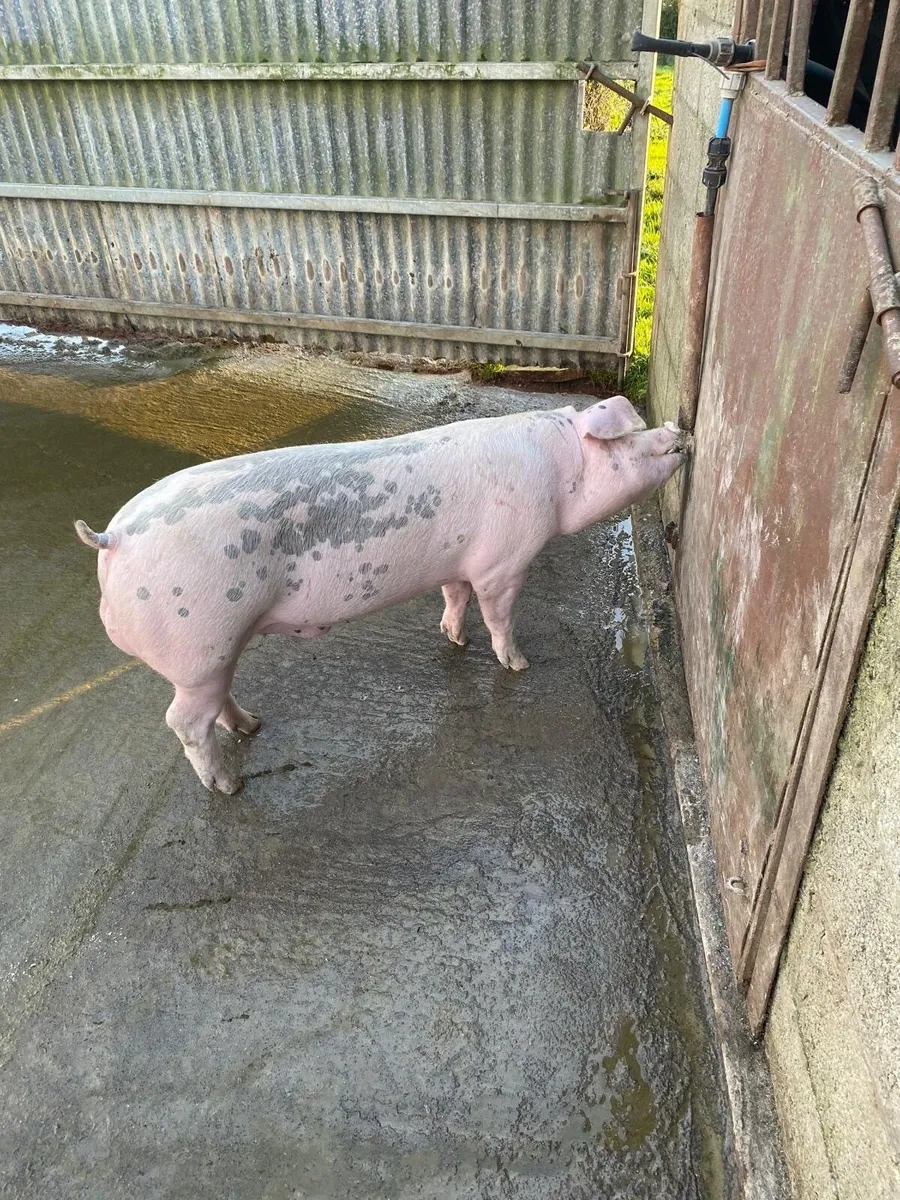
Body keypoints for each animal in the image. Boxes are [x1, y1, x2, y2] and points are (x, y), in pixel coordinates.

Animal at [76, 395, 687, 793]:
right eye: (628, 439)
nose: (680, 434)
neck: (559, 470)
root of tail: (114, 537)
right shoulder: (504, 561)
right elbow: (499, 614)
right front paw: (519, 665)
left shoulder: (458, 560)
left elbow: (454, 597)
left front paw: (454, 640)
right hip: (198, 640)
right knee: (184, 722)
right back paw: (229, 786)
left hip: (216, 649)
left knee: (216, 702)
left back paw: (253, 726)